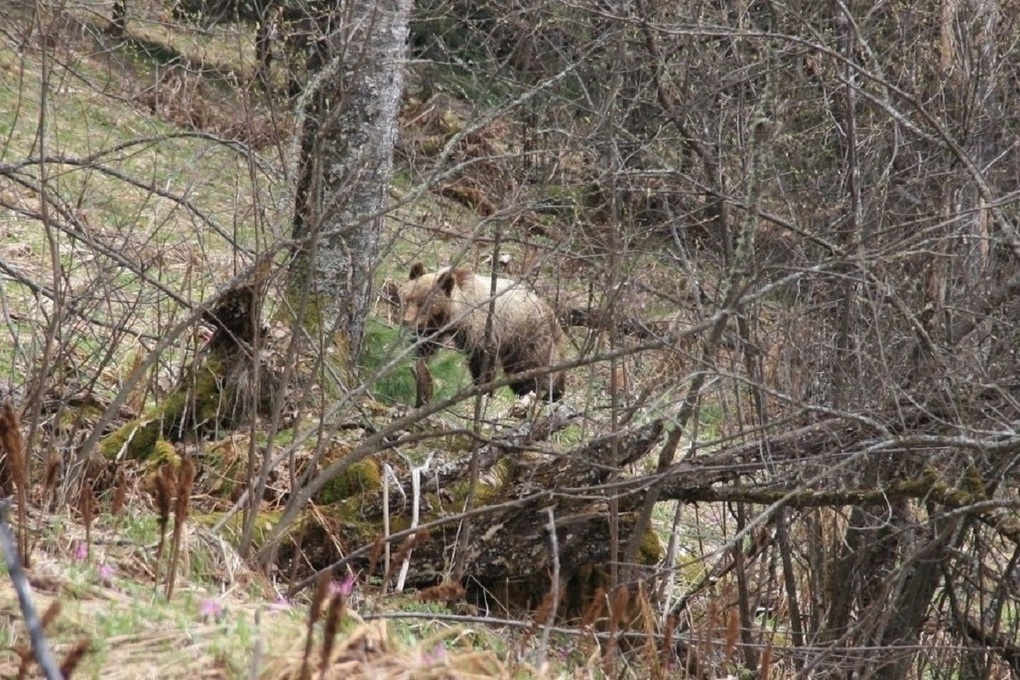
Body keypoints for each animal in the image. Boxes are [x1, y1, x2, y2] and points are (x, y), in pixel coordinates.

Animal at [387, 263, 567, 401]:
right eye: (408, 299)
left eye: (425, 305)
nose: (407, 322)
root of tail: (551, 312)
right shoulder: (434, 328)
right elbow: (425, 346)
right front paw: (413, 360)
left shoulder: (481, 328)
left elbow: (482, 361)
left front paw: (483, 391)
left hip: (528, 336)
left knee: (531, 369)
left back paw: (546, 393)